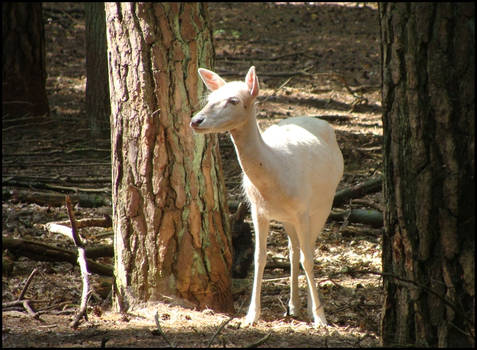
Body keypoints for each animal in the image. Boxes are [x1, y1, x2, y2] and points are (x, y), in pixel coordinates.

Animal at [190, 66, 342, 328]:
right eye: (209, 99)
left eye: (233, 100)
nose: (195, 121)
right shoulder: (257, 210)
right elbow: (260, 257)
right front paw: (251, 315)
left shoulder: (303, 208)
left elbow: (308, 259)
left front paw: (321, 319)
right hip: (288, 218)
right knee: (293, 249)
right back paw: (293, 305)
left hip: (323, 204)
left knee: (308, 249)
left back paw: (310, 306)